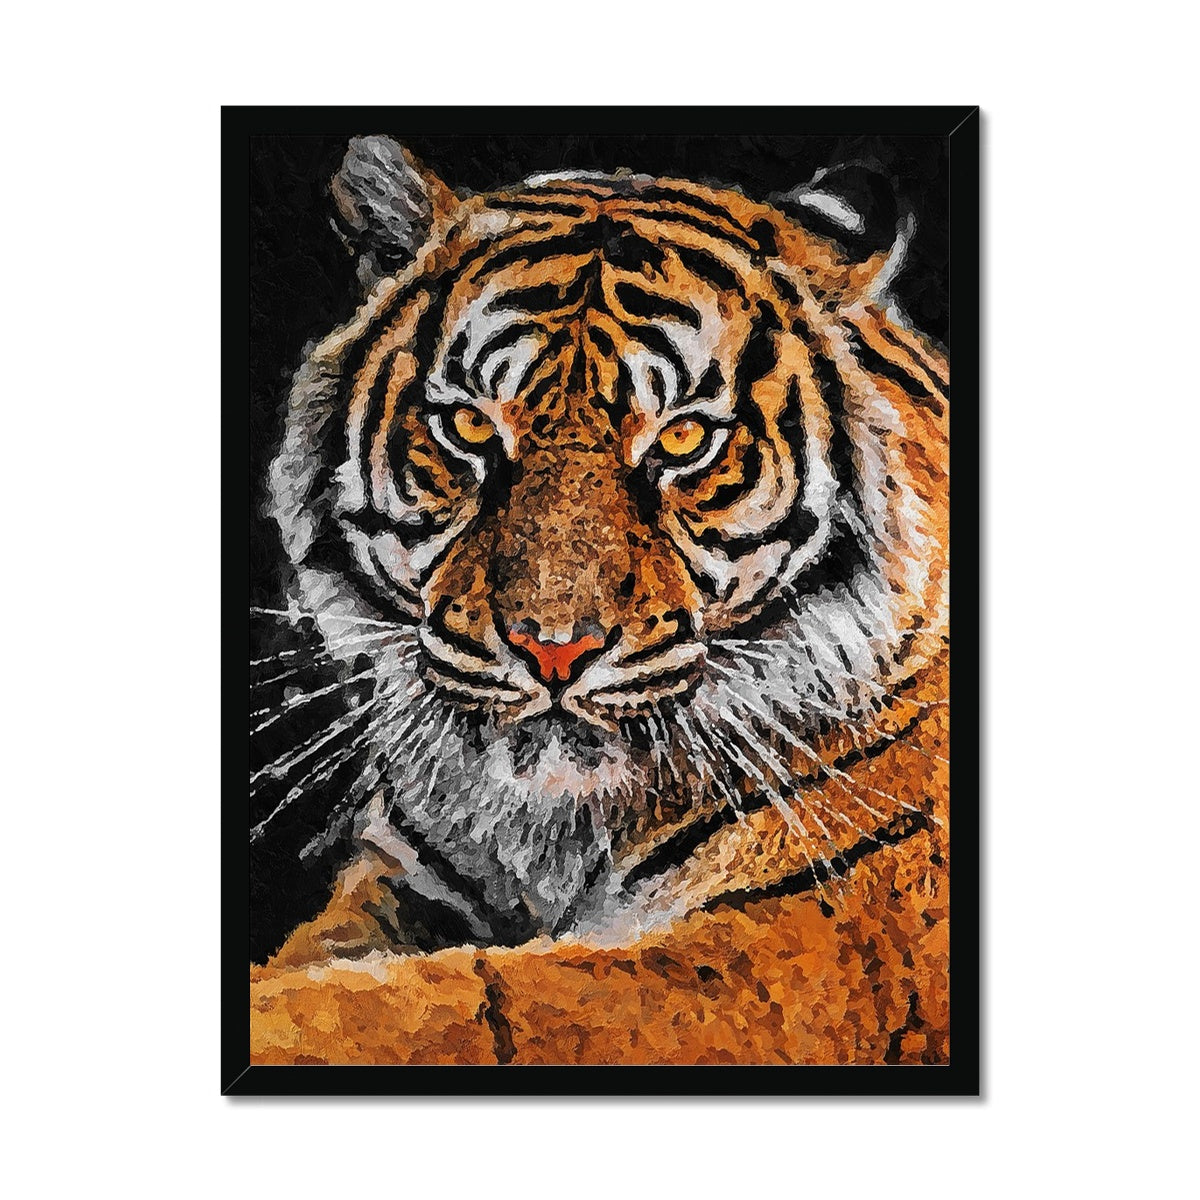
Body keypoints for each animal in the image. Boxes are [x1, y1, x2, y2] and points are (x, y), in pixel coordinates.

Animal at [249, 136, 951, 1066]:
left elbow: (456, 1007)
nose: (554, 650)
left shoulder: (776, 948)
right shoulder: (396, 877)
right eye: (469, 428)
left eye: (683, 438)